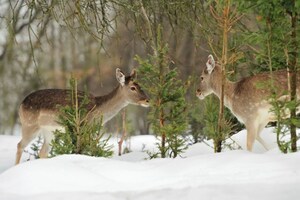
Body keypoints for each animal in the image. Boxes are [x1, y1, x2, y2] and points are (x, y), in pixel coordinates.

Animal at [15, 69, 149, 164]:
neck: (97, 110)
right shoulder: (82, 128)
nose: (147, 100)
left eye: (141, 85)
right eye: (132, 88)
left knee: (43, 152)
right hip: (29, 125)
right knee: (20, 145)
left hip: (49, 130)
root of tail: (20, 105)